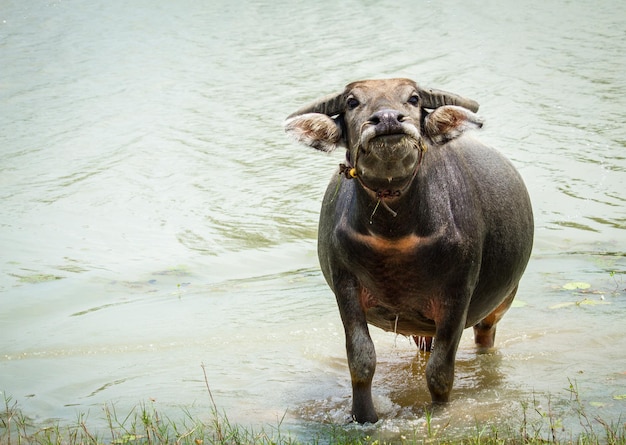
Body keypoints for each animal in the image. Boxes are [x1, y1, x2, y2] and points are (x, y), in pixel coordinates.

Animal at [282, 78, 532, 422]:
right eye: (351, 102)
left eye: (413, 99)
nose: (388, 120)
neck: (394, 235)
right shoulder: (345, 286)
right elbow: (361, 361)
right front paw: (364, 418)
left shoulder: (457, 294)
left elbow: (440, 372)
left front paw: (439, 413)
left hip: (502, 301)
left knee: (485, 336)